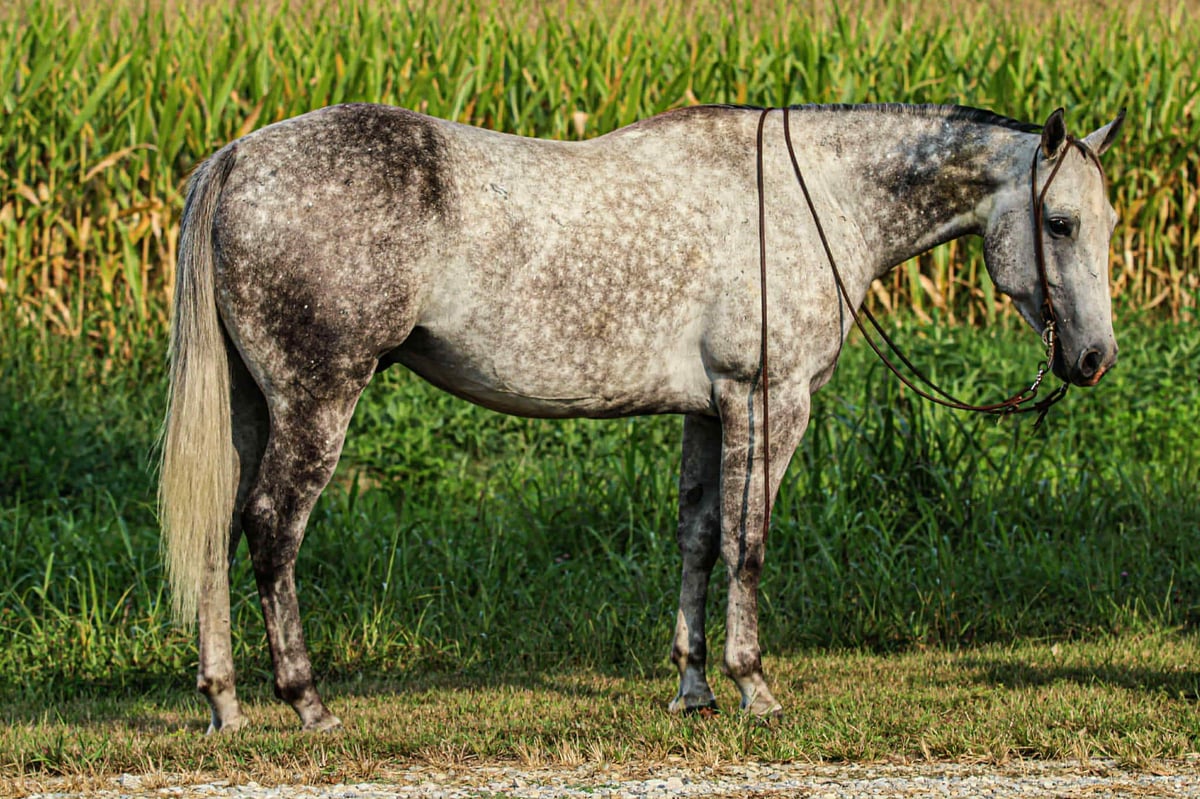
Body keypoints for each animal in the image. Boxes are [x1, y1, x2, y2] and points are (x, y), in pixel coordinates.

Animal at [159, 101, 1125, 732]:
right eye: (1060, 221)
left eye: (1109, 223)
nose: (1092, 359)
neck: (815, 198)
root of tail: (237, 158)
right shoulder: (769, 401)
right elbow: (748, 542)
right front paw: (754, 684)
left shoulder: (710, 410)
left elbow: (697, 538)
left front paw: (694, 687)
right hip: (318, 399)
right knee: (272, 529)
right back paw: (306, 700)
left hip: (252, 407)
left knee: (217, 528)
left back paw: (225, 702)